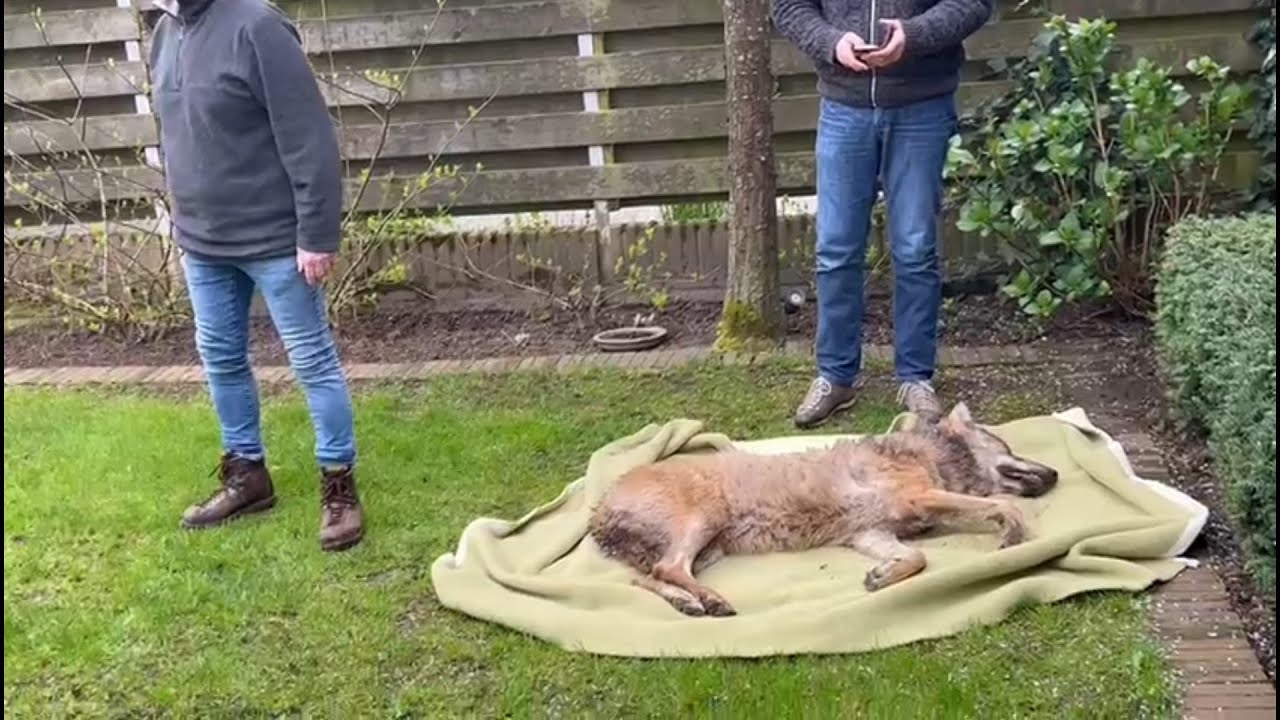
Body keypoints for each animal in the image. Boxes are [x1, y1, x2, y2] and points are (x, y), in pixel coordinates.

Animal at [587, 402, 1059, 617]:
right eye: (1009, 447)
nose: (1055, 473)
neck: (931, 455)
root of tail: (598, 508)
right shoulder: (916, 498)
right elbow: (998, 504)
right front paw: (1012, 529)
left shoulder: (871, 534)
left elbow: (917, 557)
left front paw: (883, 575)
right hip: (703, 524)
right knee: (667, 569)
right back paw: (710, 599)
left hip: (708, 550)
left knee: (645, 578)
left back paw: (691, 603)